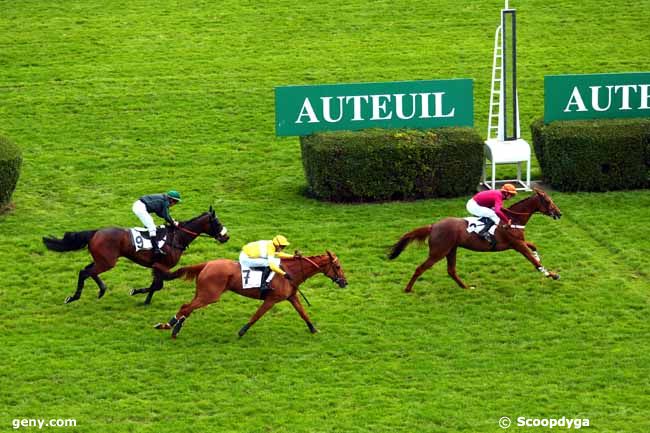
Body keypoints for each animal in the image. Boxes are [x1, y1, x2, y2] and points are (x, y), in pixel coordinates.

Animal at [41, 206, 229, 304]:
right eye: (217, 222)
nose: (226, 236)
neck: (178, 237)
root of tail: (95, 232)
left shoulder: (158, 267)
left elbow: (156, 285)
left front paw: (144, 298)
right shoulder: (161, 265)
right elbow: (158, 285)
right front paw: (138, 293)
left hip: (101, 260)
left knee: (88, 270)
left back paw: (101, 290)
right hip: (107, 262)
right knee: (85, 272)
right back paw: (75, 297)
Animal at [153, 251, 346, 340]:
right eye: (337, 267)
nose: (345, 282)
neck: (289, 272)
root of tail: (206, 264)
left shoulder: (292, 297)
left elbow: (303, 313)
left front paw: (313, 329)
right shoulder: (271, 299)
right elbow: (256, 316)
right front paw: (242, 331)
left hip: (204, 293)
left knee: (188, 307)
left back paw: (174, 327)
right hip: (210, 295)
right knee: (187, 307)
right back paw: (168, 326)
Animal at [388, 188, 560, 292]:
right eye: (548, 201)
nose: (559, 213)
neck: (513, 219)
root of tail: (433, 226)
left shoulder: (519, 242)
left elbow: (534, 247)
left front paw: (545, 266)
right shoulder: (517, 244)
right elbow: (533, 260)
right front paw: (550, 274)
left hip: (451, 250)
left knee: (451, 270)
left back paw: (466, 287)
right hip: (438, 252)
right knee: (420, 268)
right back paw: (408, 289)